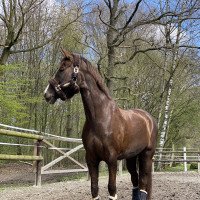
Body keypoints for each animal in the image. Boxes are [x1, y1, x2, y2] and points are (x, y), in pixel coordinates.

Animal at [44, 48, 158, 200]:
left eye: (62, 68)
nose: (47, 94)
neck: (101, 119)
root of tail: (149, 118)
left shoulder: (112, 160)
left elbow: (112, 189)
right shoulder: (91, 159)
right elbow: (94, 188)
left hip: (146, 155)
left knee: (144, 184)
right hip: (132, 157)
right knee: (136, 182)